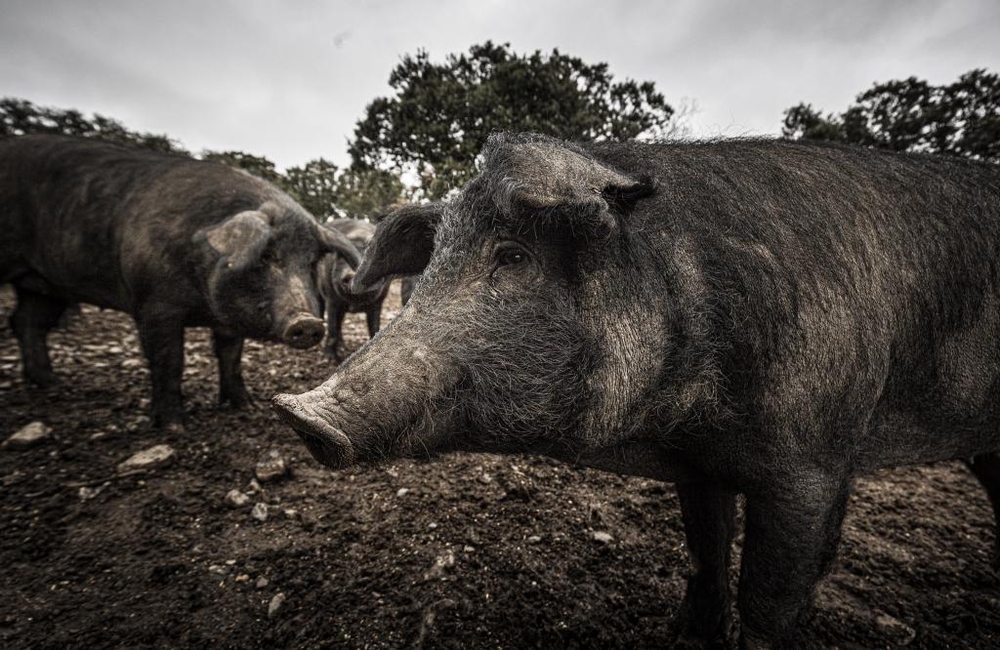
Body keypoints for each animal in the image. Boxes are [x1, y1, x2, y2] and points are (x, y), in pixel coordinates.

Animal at [1, 134, 362, 428]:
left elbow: (230, 356)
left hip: (46, 285)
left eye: (311, 261)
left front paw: (245, 406)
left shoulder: (227, 322)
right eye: (265, 256)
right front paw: (175, 427)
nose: (308, 323)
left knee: (27, 321)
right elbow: (169, 359)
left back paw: (50, 382)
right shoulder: (153, 305)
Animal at [314, 218, 388, 360]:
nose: (351, 274)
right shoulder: (332, 299)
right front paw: (329, 359)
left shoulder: (379, 301)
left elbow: (374, 326)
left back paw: (343, 347)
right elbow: (332, 327)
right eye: (343, 258)